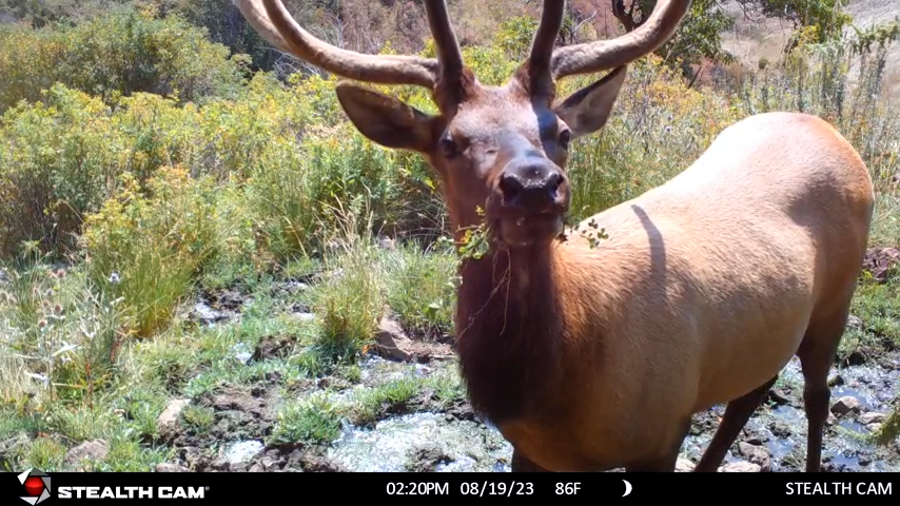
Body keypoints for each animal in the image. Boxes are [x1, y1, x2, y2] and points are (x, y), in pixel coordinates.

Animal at [232, 0, 872, 472]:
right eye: (450, 142)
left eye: (560, 131)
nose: (535, 185)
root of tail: (828, 129)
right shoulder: (531, 449)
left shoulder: (662, 427)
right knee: (753, 390)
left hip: (838, 296)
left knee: (815, 395)